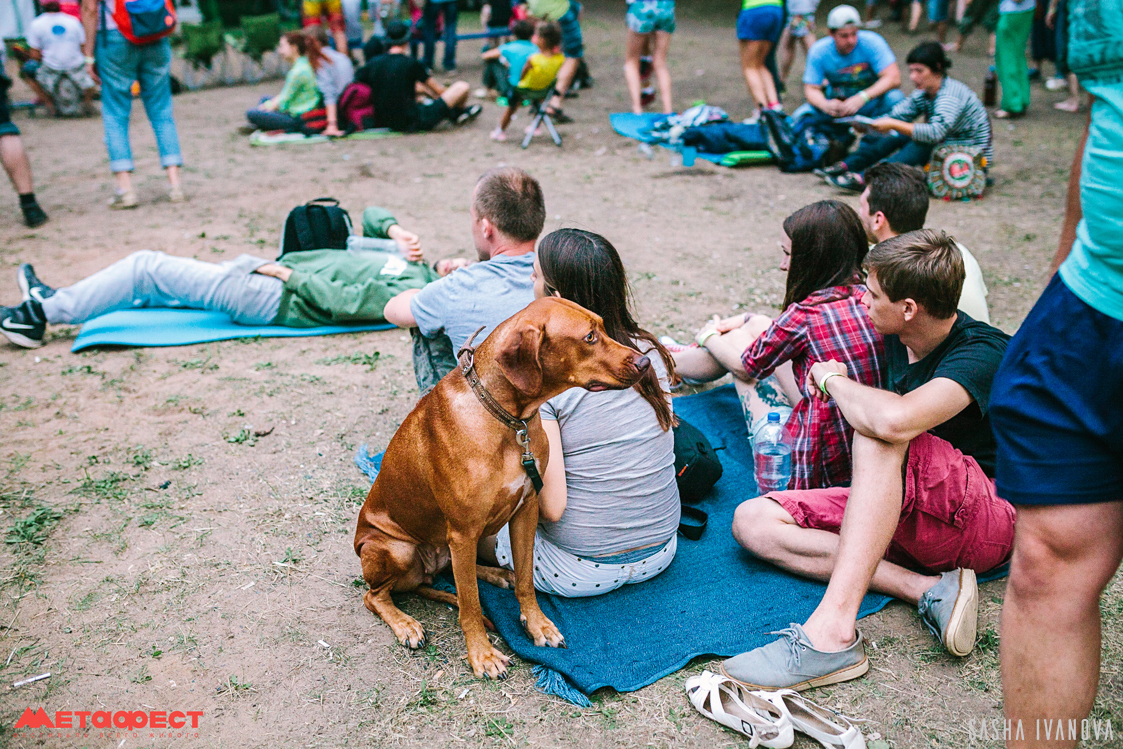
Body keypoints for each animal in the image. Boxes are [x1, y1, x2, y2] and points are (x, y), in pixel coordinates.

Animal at [350, 296, 651, 678]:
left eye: (601, 326)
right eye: (589, 337)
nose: (644, 362)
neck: (507, 418)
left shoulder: (526, 510)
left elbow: (524, 580)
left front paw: (537, 624)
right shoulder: (463, 531)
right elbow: (470, 605)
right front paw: (482, 655)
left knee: (452, 574)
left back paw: (494, 572)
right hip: (396, 548)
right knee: (375, 595)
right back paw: (406, 624)